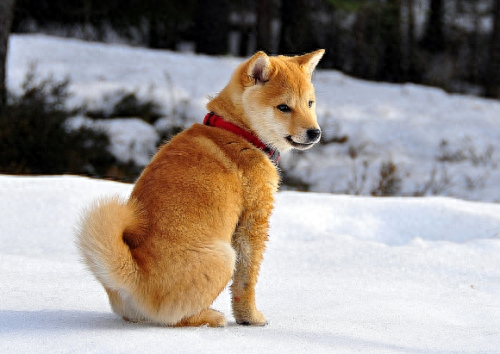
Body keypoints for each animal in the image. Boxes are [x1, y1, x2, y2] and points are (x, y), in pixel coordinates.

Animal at [74, 48, 324, 328]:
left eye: (310, 103)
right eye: (283, 107)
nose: (314, 133)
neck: (237, 132)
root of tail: (135, 278)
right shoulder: (253, 223)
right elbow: (245, 283)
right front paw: (250, 318)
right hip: (224, 257)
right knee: (178, 318)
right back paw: (211, 317)